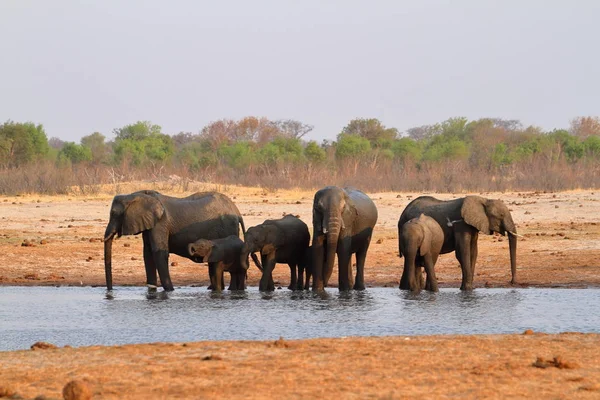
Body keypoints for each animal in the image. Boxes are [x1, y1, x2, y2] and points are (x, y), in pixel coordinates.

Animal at [102, 191, 260, 290]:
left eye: (114, 213)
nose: (110, 291)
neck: (135, 195)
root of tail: (237, 211)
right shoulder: (150, 224)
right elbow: (147, 255)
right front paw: (152, 290)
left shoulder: (160, 223)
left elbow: (159, 253)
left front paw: (170, 291)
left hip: (228, 227)